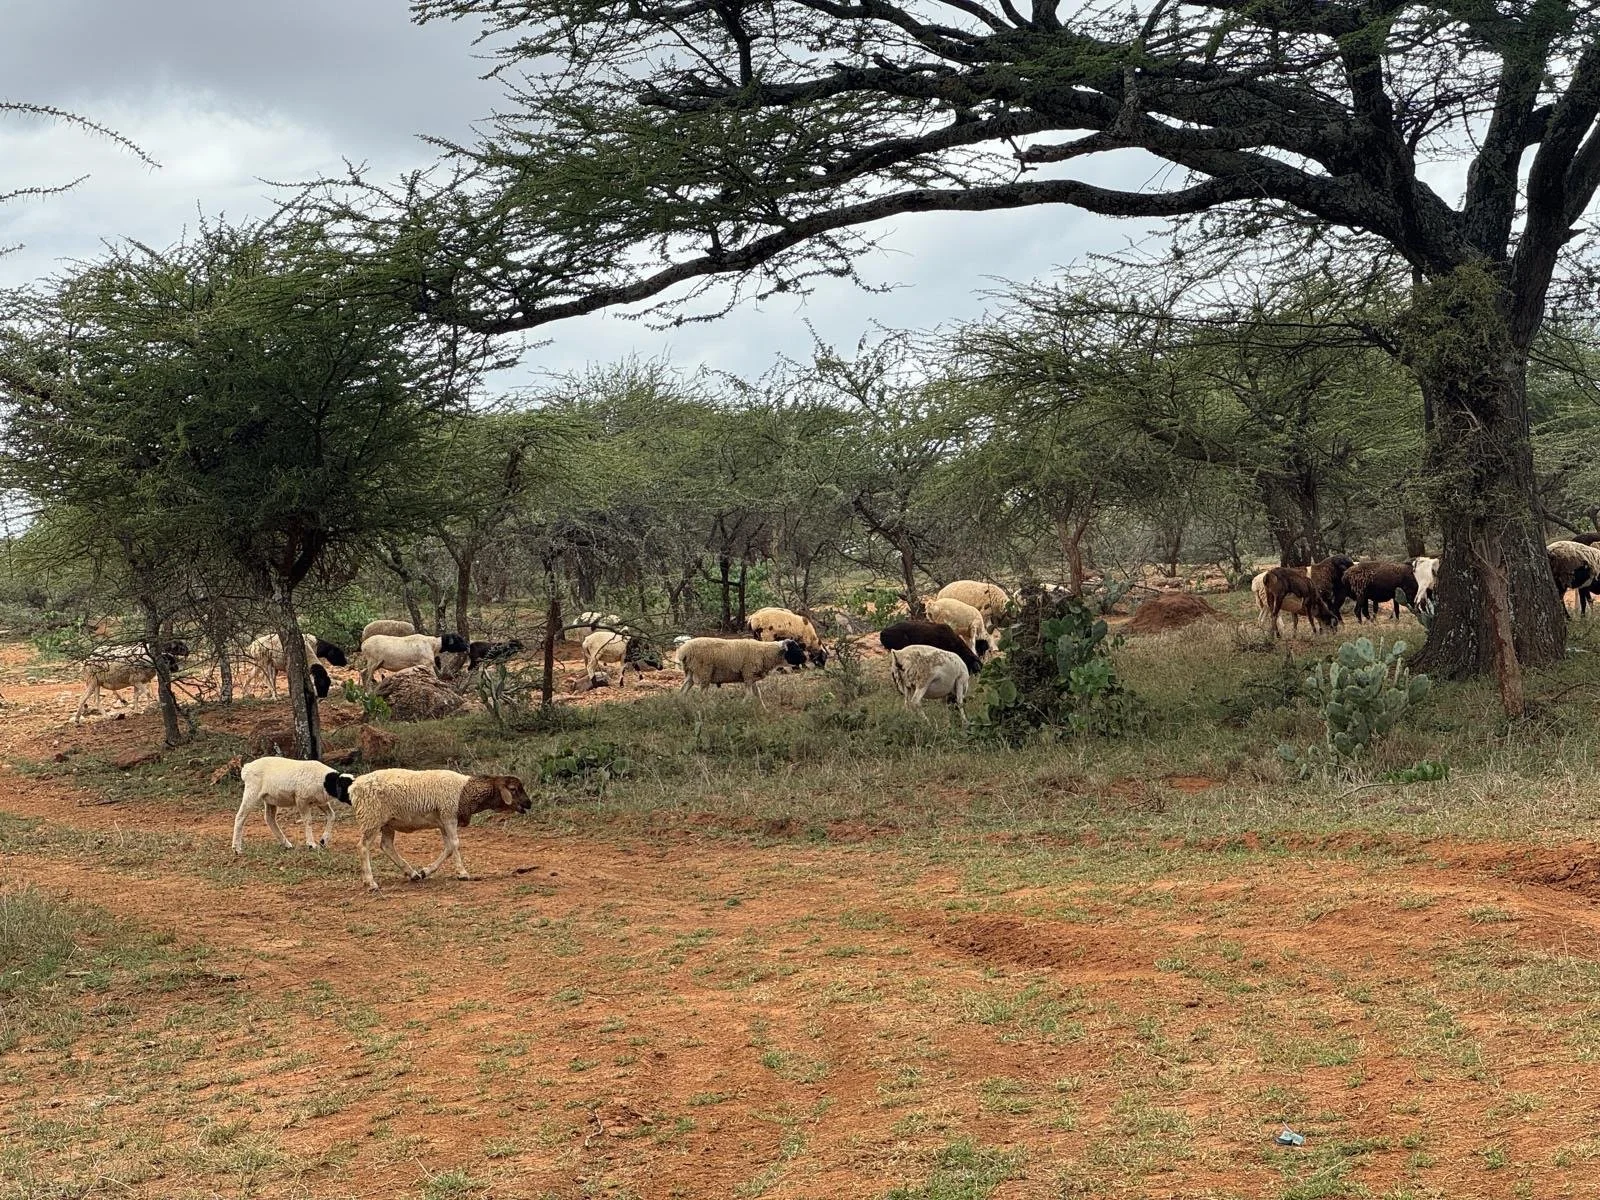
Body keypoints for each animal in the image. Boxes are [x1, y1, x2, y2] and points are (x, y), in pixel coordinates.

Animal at [340, 768, 531, 891]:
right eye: (513, 789)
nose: (529, 803)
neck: (465, 792)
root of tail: (354, 787)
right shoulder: (449, 816)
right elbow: (455, 844)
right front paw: (463, 873)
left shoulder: (443, 823)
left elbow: (448, 848)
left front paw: (426, 871)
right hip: (371, 818)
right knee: (363, 847)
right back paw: (370, 883)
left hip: (387, 823)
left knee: (386, 846)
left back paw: (412, 874)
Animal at [676, 637, 806, 705]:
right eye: (794, 649)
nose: (805, 658)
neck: (766, 653)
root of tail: (684, 650)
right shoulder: (748, 674)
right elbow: (749, 695)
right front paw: (743, 705)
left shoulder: (751, 677)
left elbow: (757, 694)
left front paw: (763, 708)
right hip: (704, 672)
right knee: (702, 694)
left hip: (690, 672)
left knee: (683, 690)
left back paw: (681, 704)